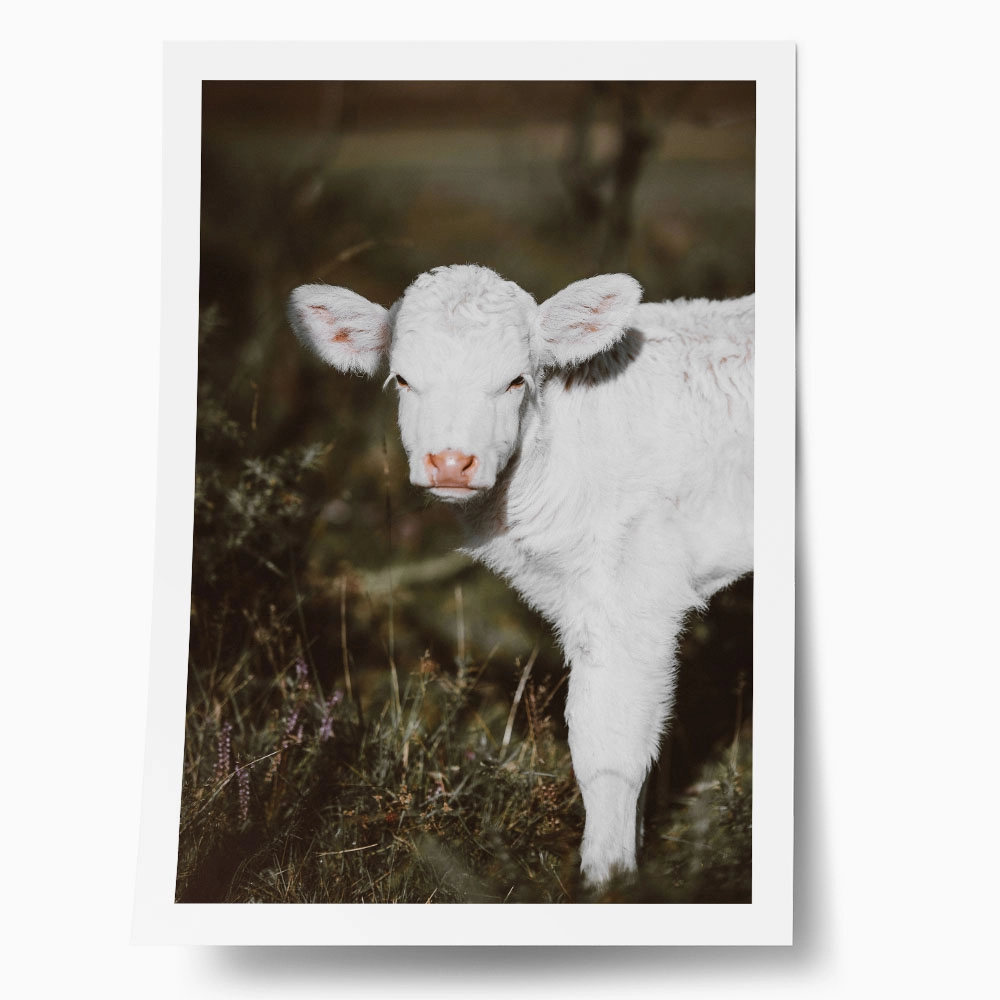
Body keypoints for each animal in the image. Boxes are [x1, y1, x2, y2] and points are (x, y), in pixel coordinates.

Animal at [287, 264, 754, 889]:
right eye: (403, 379)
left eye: (515, 381)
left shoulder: (632, 592)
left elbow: (609, 745)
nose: (450, 462)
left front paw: (606, 882)